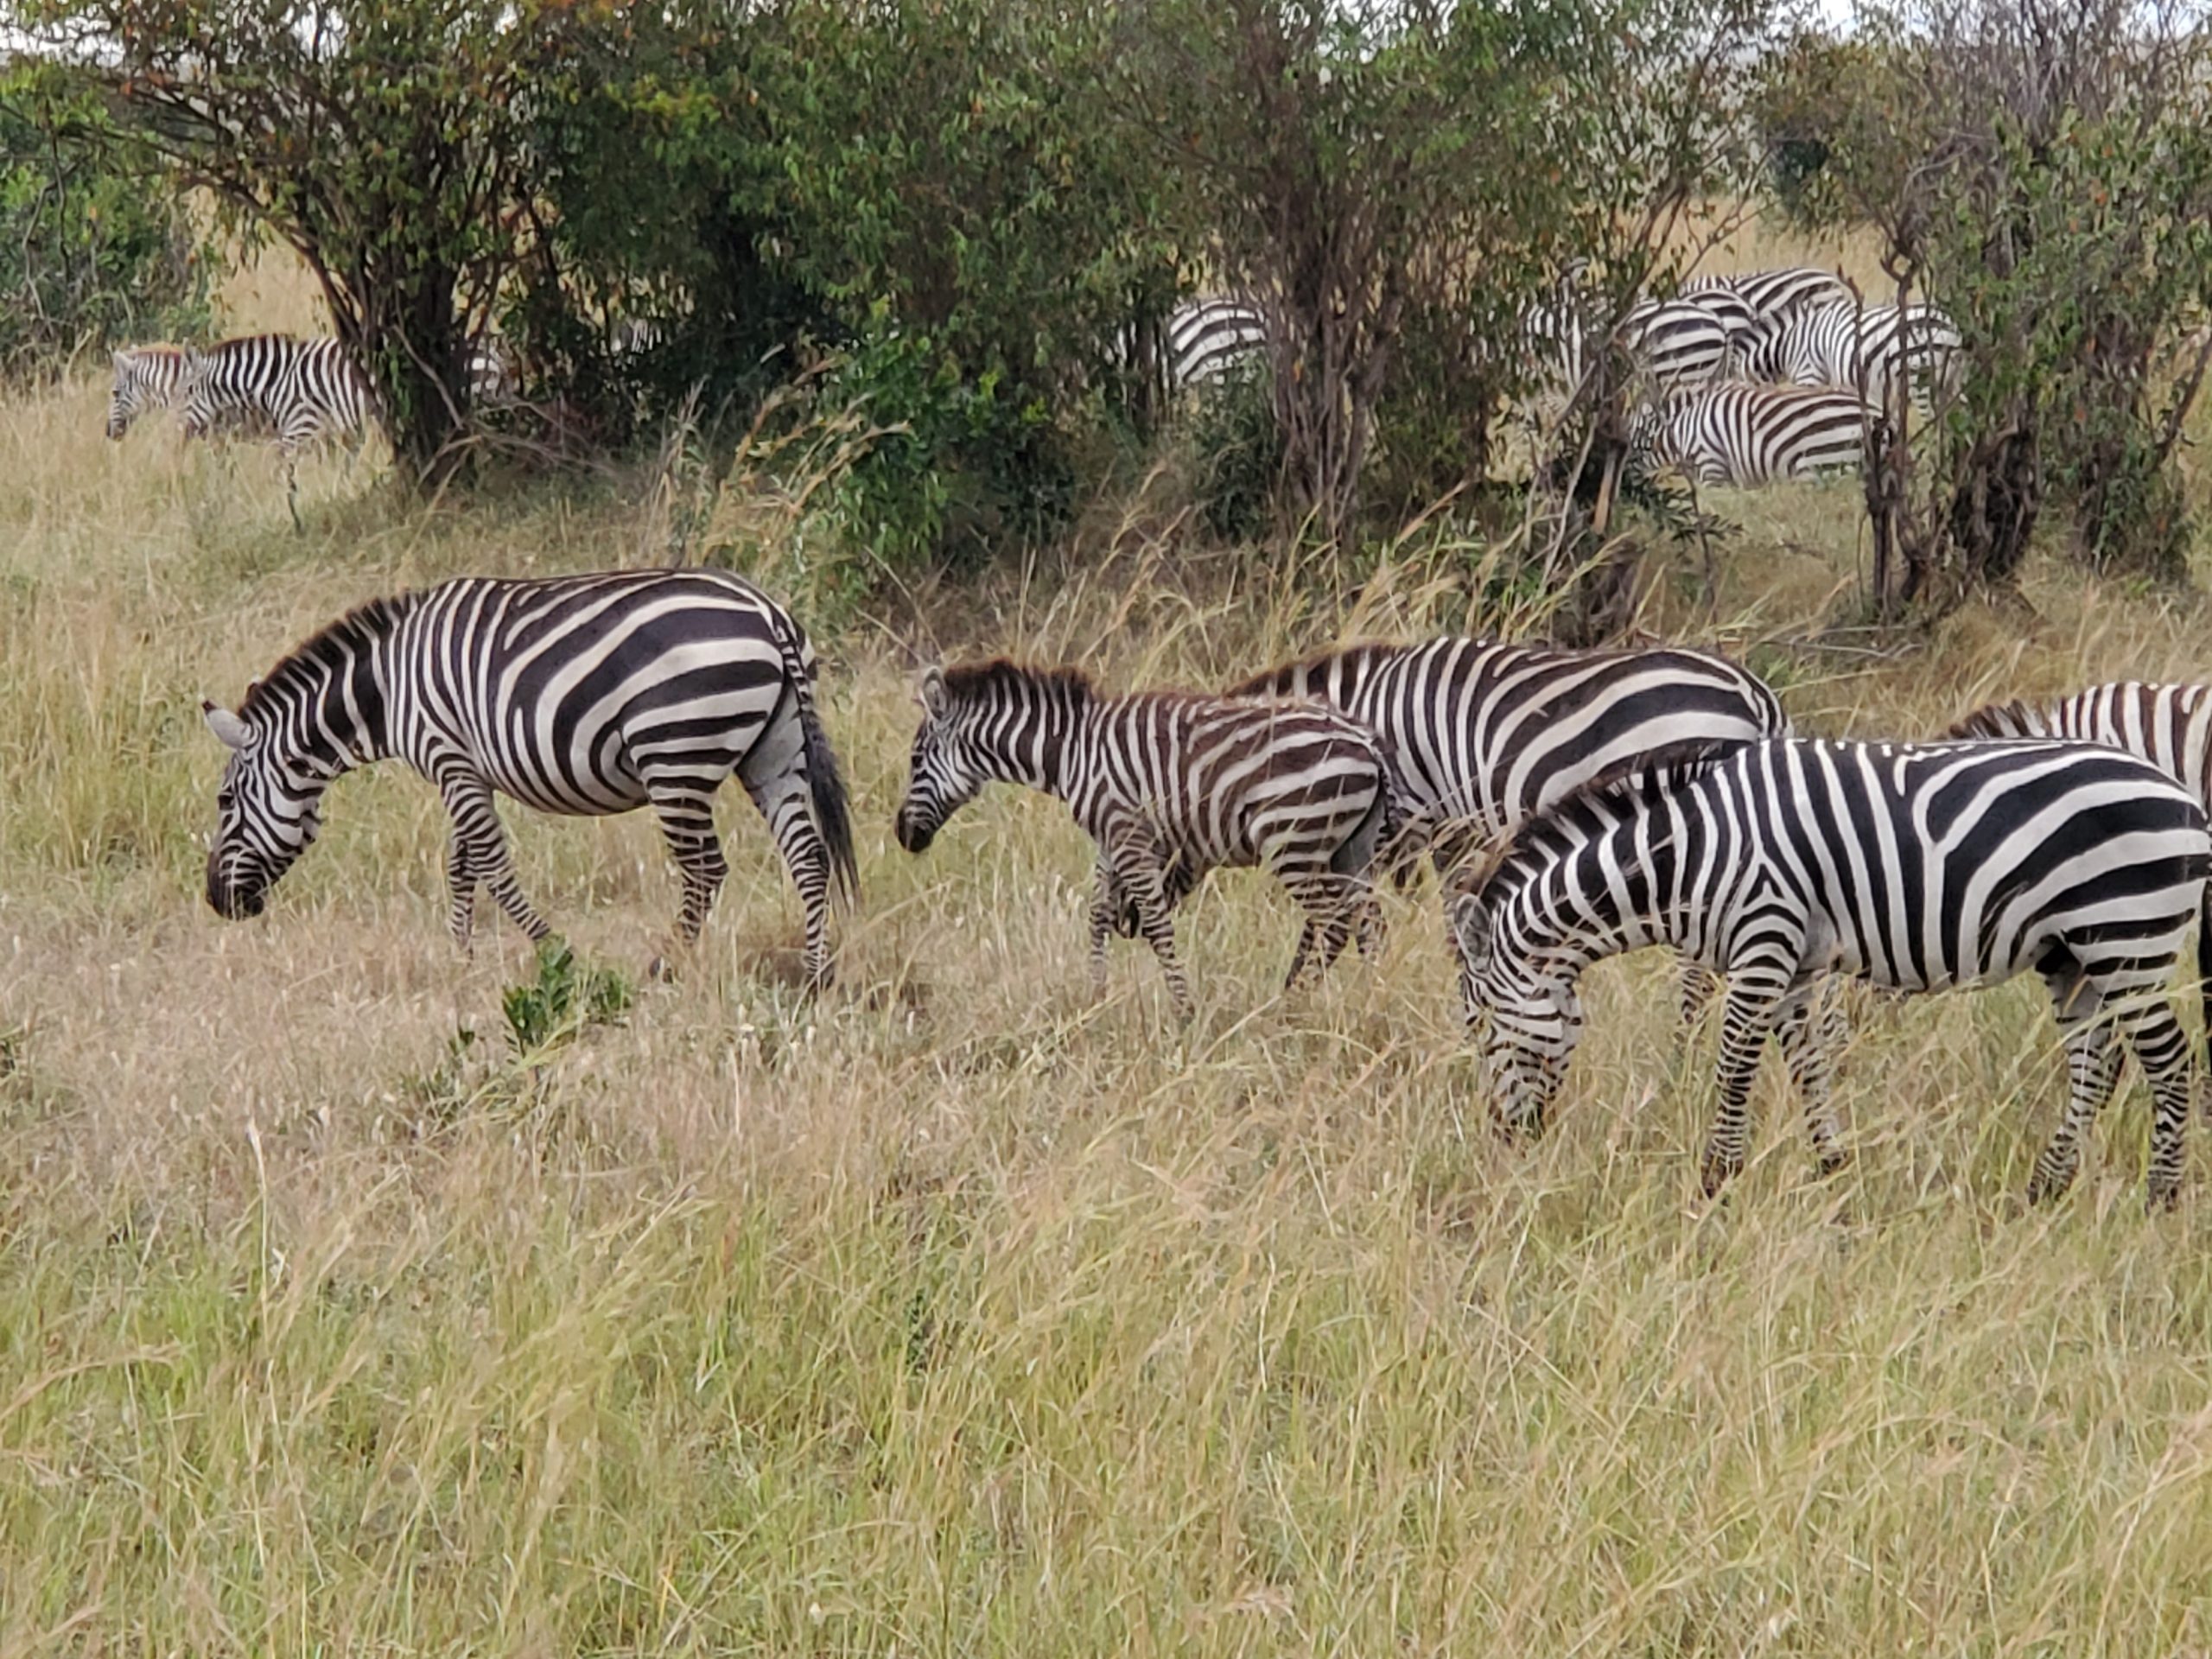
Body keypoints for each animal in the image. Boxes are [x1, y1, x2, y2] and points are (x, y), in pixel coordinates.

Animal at [200, 570, 854, 986]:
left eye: (225, 800)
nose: (217, 902)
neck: (387, 689)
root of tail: (768, 613)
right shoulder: (467, 769)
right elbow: (462, 864)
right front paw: (461, 959)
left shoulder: (447, 756)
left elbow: (490, 864)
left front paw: (554, 952)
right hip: (774, 755)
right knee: (808, 856)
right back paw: (816, 975)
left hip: (674, 754)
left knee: (706, 870)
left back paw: (664, 965)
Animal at [889, 654, 1407, 1021]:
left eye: (916, 759)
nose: (901, 835)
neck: (1070, 750)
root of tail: (1367, 743)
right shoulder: (1109, 837)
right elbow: (1097, 915)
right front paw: (1094, 1000)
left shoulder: (1127, 833)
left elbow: (1156, 924)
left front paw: (1184, 1013)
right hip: (1351, 849)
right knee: (1370, 924)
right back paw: (1374, 1001)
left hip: (1294, 841)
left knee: (1336, 923)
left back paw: (1297, 1004)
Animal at [1451, 739, 2212, 1211]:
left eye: (1485, 1033)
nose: (1504, 1142)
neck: (1687, 855)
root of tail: (2185, 799)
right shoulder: (1794, 962)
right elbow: (1807, 1066)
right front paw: (1831, 1170)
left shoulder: (1763, 940)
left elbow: (1734, 1069)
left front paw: (1714, 1185)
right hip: (2072, 954)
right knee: (2096, 1062)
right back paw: (2045, 1191)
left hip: (2125, 934)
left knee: (2170, 1062)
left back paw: (2160, 1200)